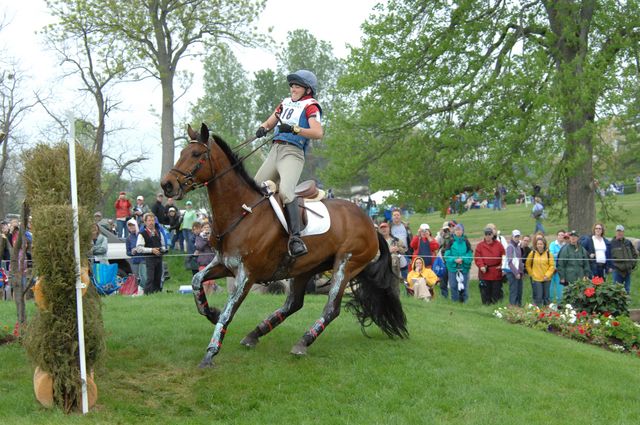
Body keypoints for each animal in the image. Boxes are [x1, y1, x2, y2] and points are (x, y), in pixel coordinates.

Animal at [162, 122, 408, 368]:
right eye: (182, 153)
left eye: (196, 154)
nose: (167, 185)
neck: (243, 213)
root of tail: (371, 224)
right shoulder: (223, 264)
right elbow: (196, 281)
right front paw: (210, 312)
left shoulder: (247, 275)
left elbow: (228, 312)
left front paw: (210, 353)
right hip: (305, 268)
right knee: (294, 303)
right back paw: (255, 334)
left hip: (345, 265)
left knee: (331, 308)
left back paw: (302, 342)